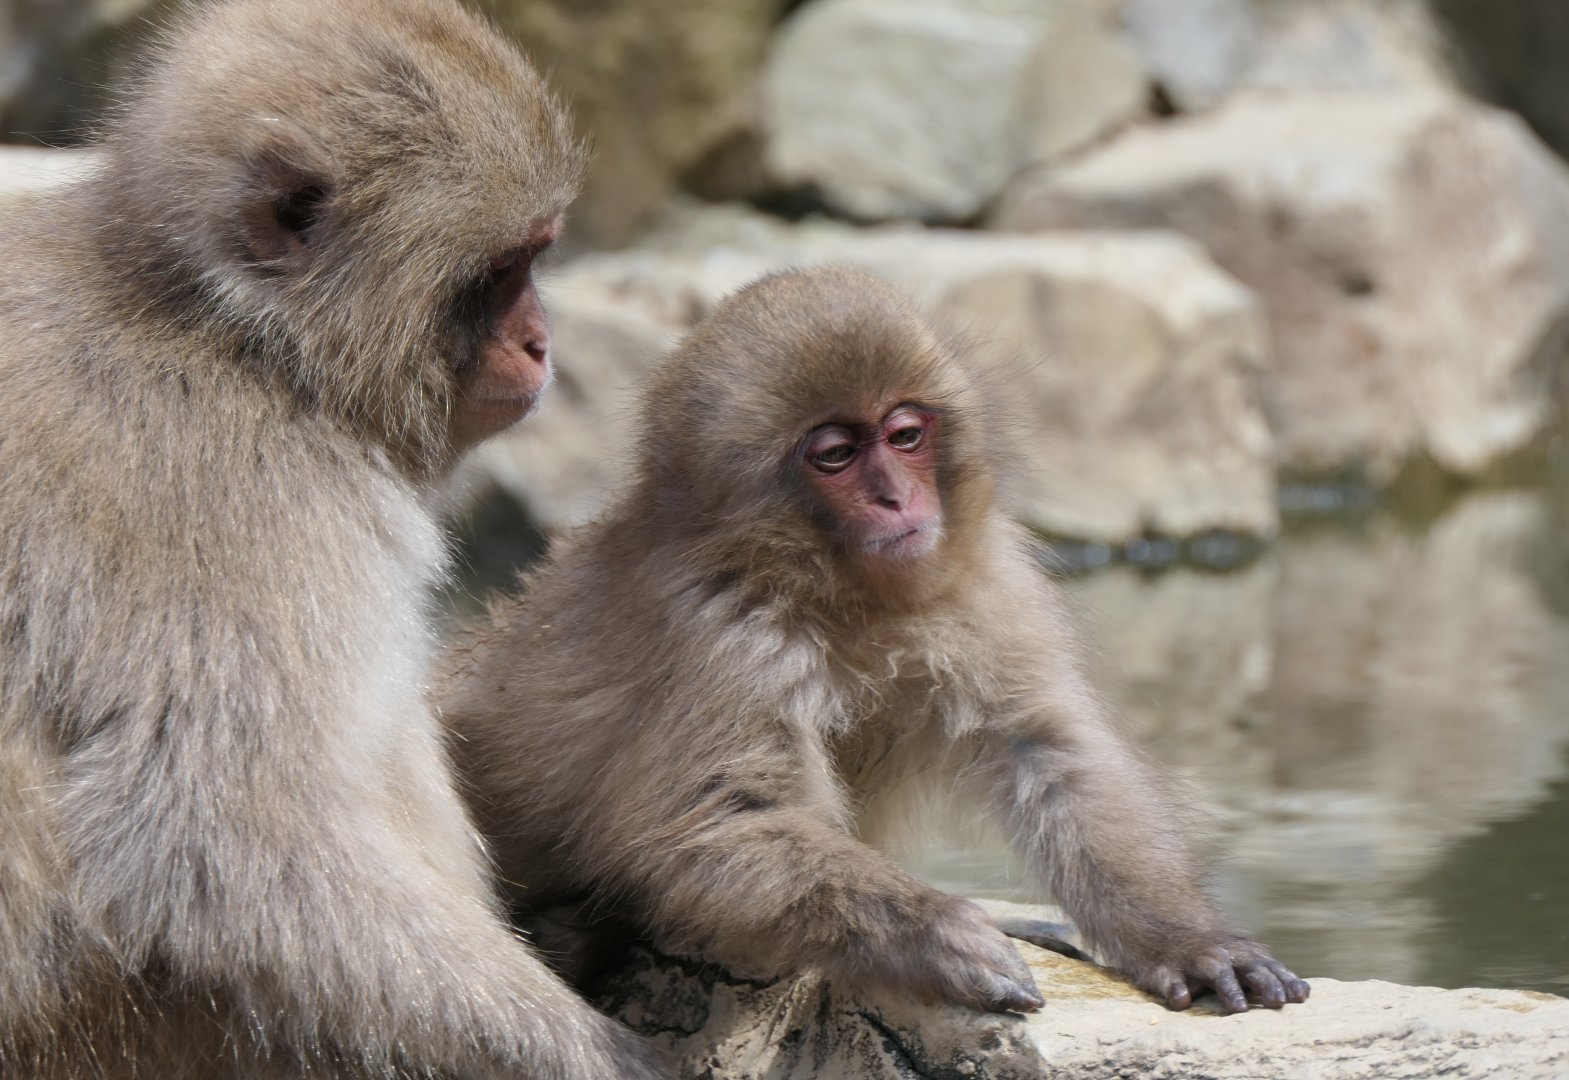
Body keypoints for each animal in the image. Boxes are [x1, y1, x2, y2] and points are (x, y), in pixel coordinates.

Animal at [0, 0, 668, 1076]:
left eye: (536, 256)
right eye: (505, 269)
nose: (542, 344)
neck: (232, 340)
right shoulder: (261, 502)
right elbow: (215, 837)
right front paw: (605, 1051)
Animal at [439, 266, 1312, 1018]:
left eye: (903, 435)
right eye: (834, 454)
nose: (896, 498)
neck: (851, 599)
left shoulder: (989, 579)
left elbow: (1052, 755)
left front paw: (1185, 939)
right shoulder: (715, 629)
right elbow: (720, 821)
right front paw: (934, 934)